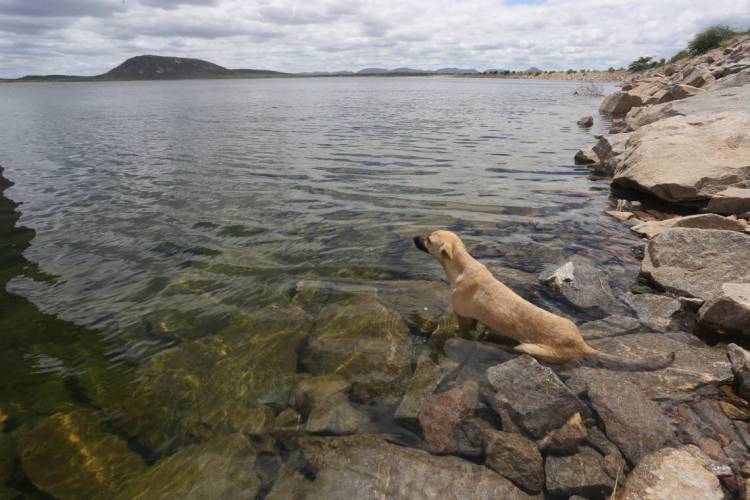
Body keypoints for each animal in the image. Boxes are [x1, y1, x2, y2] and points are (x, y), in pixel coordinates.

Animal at [414, 231, 680, 372]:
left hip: (528, 347)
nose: (414, 237)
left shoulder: (464, 317)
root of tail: (581, 345)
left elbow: (461, 331)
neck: (461, 266)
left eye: (428, 240)